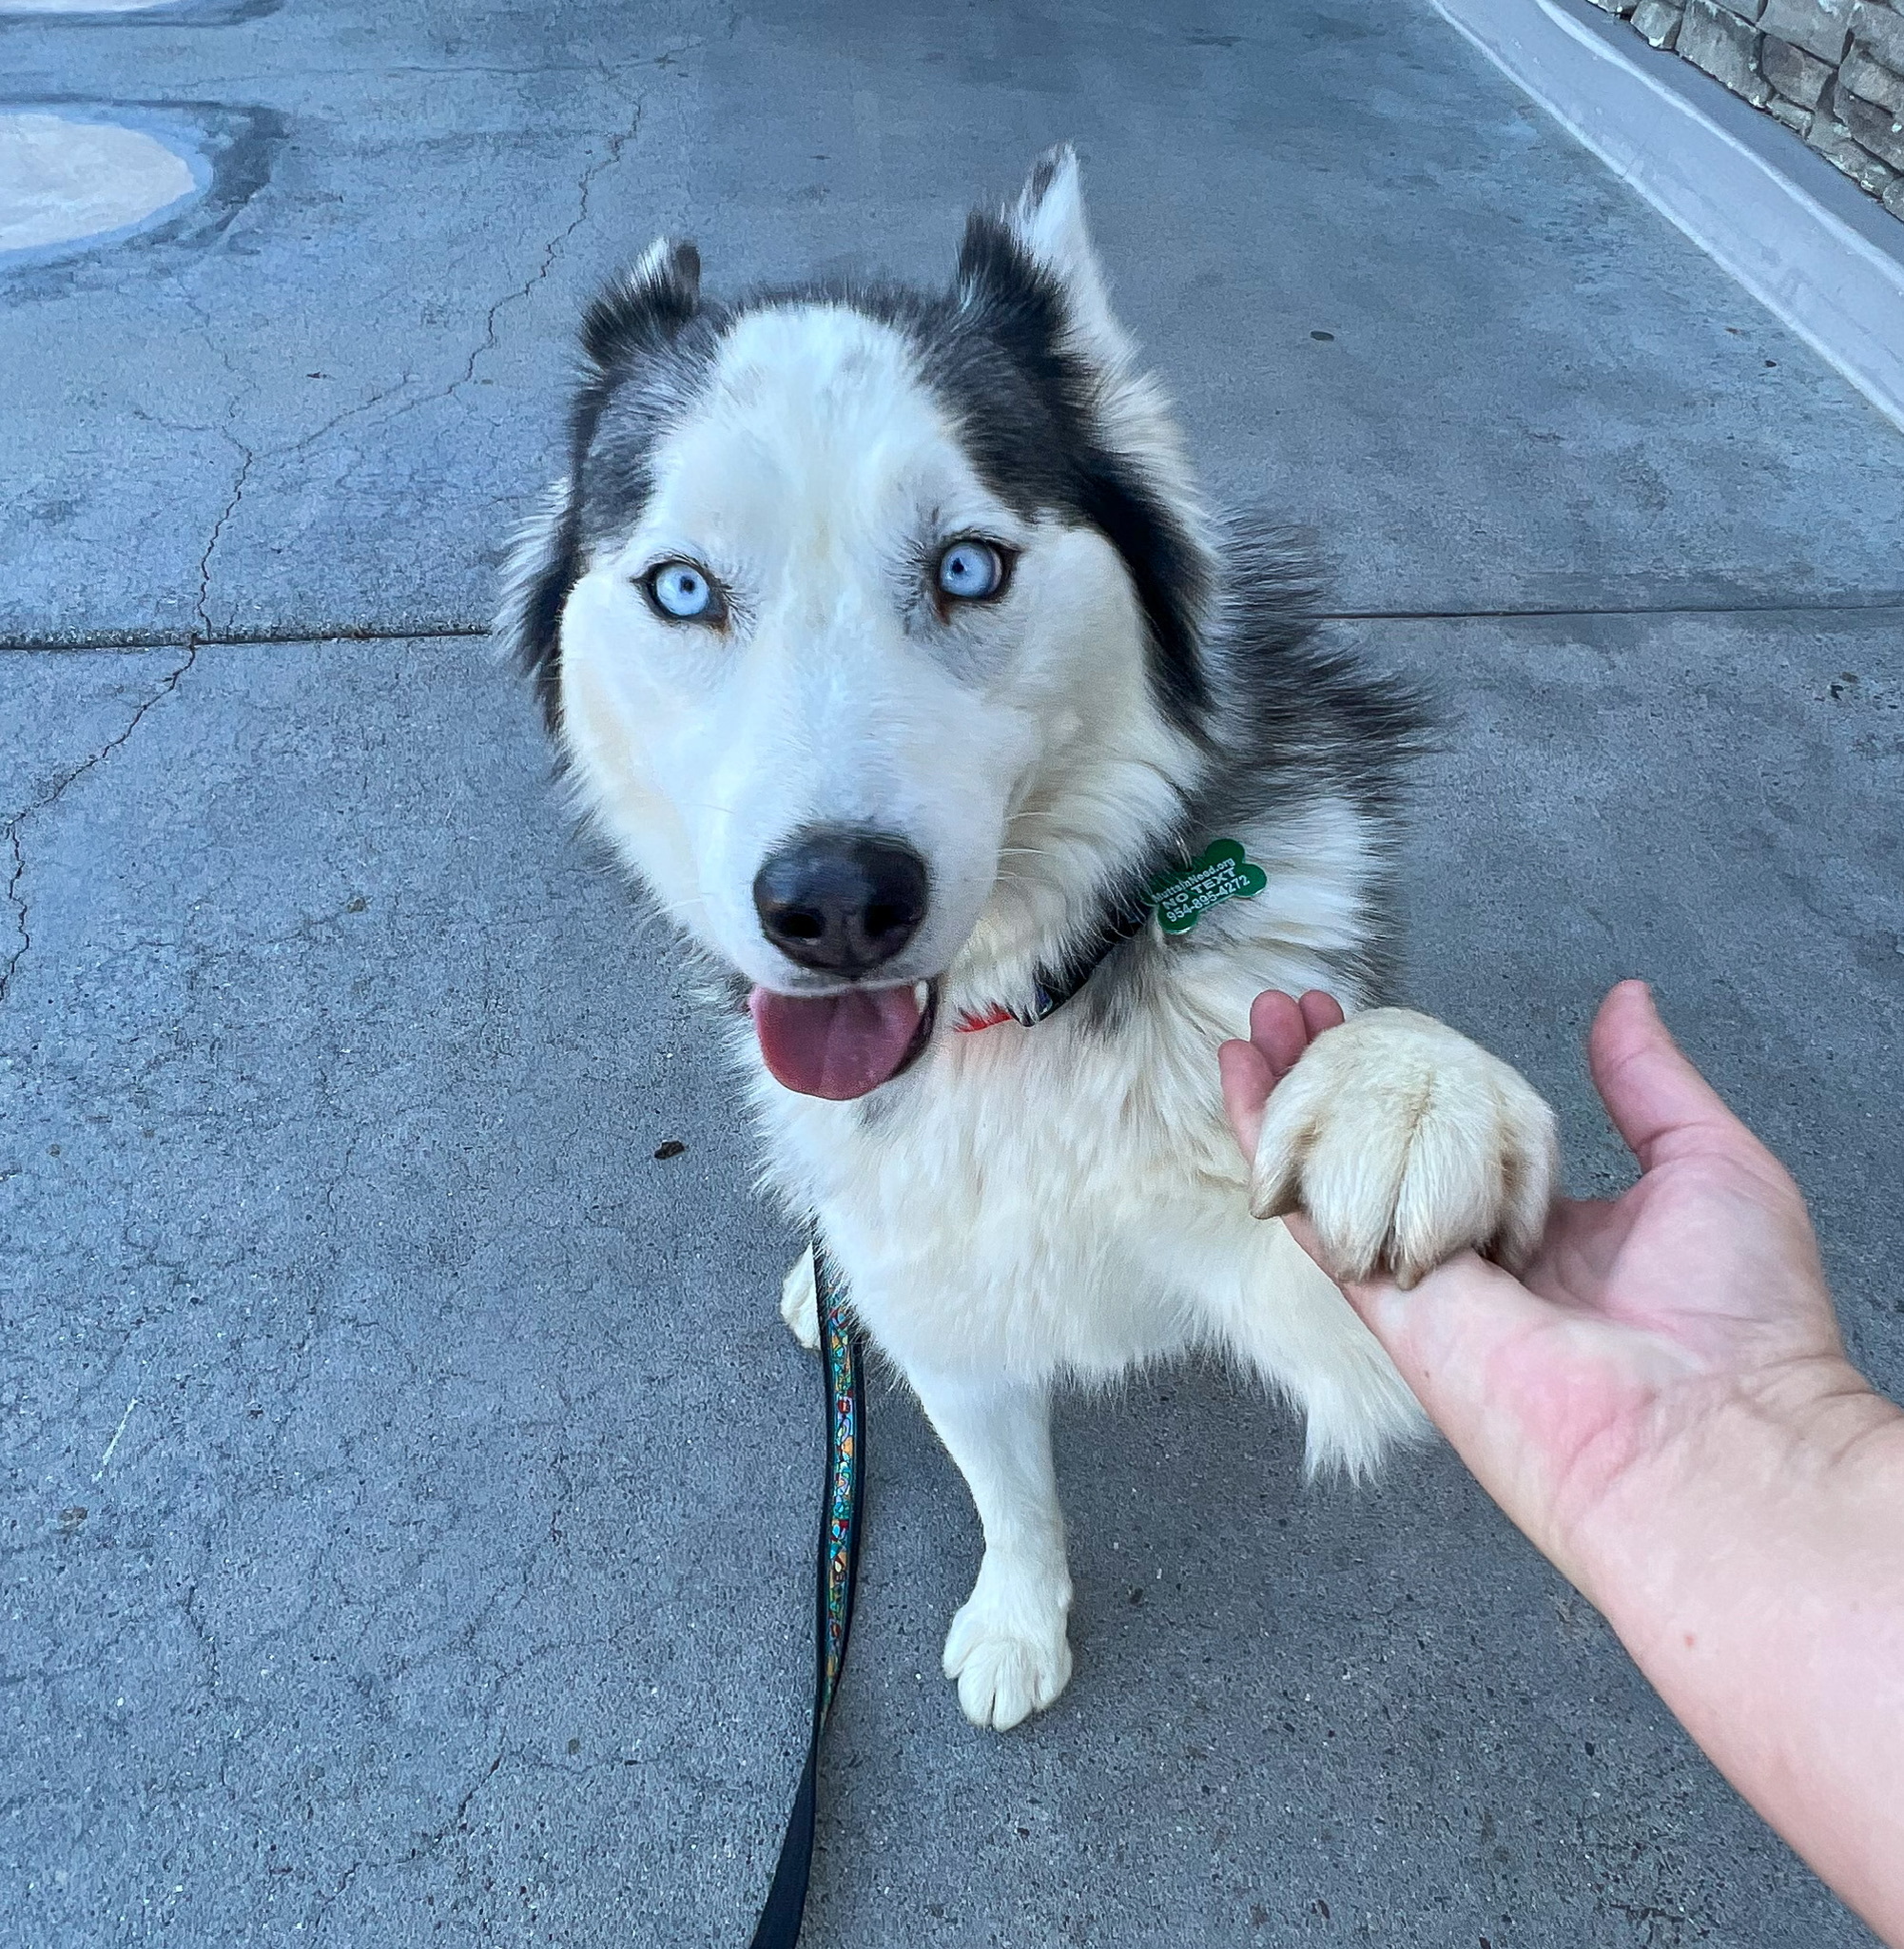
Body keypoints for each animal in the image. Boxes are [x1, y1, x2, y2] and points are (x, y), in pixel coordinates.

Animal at [496, 151, 1551, 1738]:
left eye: (967, 567)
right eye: (683, 589)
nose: (834, 902)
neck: (1021, 1018)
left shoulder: (1317, 1288)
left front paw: (1406, 1097)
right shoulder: (941, 1303)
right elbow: (1006, 1484)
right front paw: (1016, 1614)